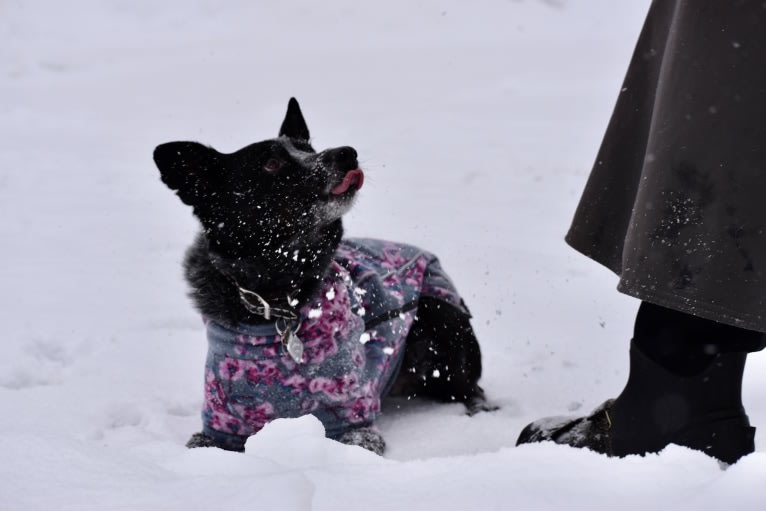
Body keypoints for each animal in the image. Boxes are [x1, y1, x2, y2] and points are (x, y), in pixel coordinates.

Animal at [153, 100, 496, 456]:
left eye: (309, 149)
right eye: (271, 163)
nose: (346, 153)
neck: (277, 300)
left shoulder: (354, 419)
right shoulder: (219, 423)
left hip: (439, 317)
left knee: (471, 390)